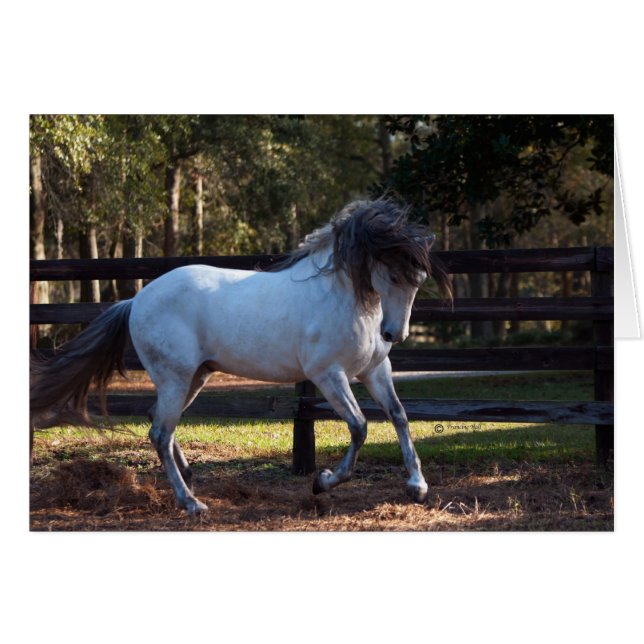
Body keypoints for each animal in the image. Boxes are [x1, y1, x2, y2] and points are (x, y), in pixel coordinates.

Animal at [30, 199, 451, 515]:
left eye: (419, 281)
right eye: (393, 276)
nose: (394, 334)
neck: (341, 297)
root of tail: (136, 300)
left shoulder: (375, 370)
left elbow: (398, 416)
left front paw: (417, 486)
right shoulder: (327, 375)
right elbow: (360, 426)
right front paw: (323, 482)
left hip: (196, 376)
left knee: (156, 422)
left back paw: (189, 476)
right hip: (176, 377)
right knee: (159, 432)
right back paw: (191, 504)